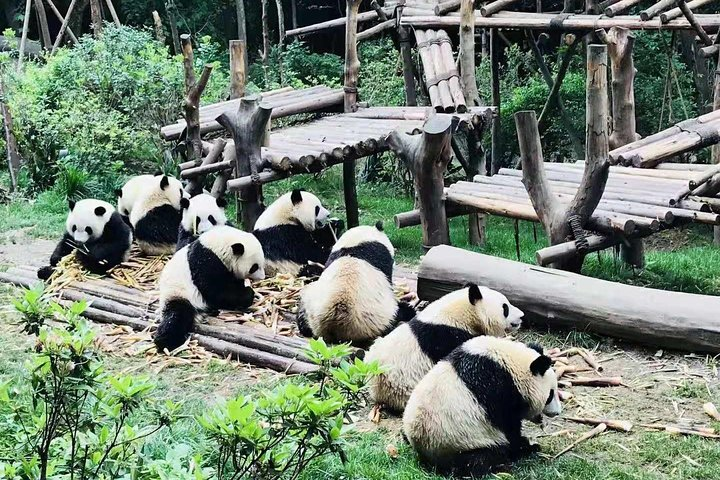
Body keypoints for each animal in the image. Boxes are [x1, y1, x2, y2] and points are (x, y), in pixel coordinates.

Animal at [400, 336, 564, 478]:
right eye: (550, 395)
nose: (557, 412)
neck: (509, 363)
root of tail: (422, 450)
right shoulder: (499, 389)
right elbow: (509, 427)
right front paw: (526, 445)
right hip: (462, 442)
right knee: (480, 459)